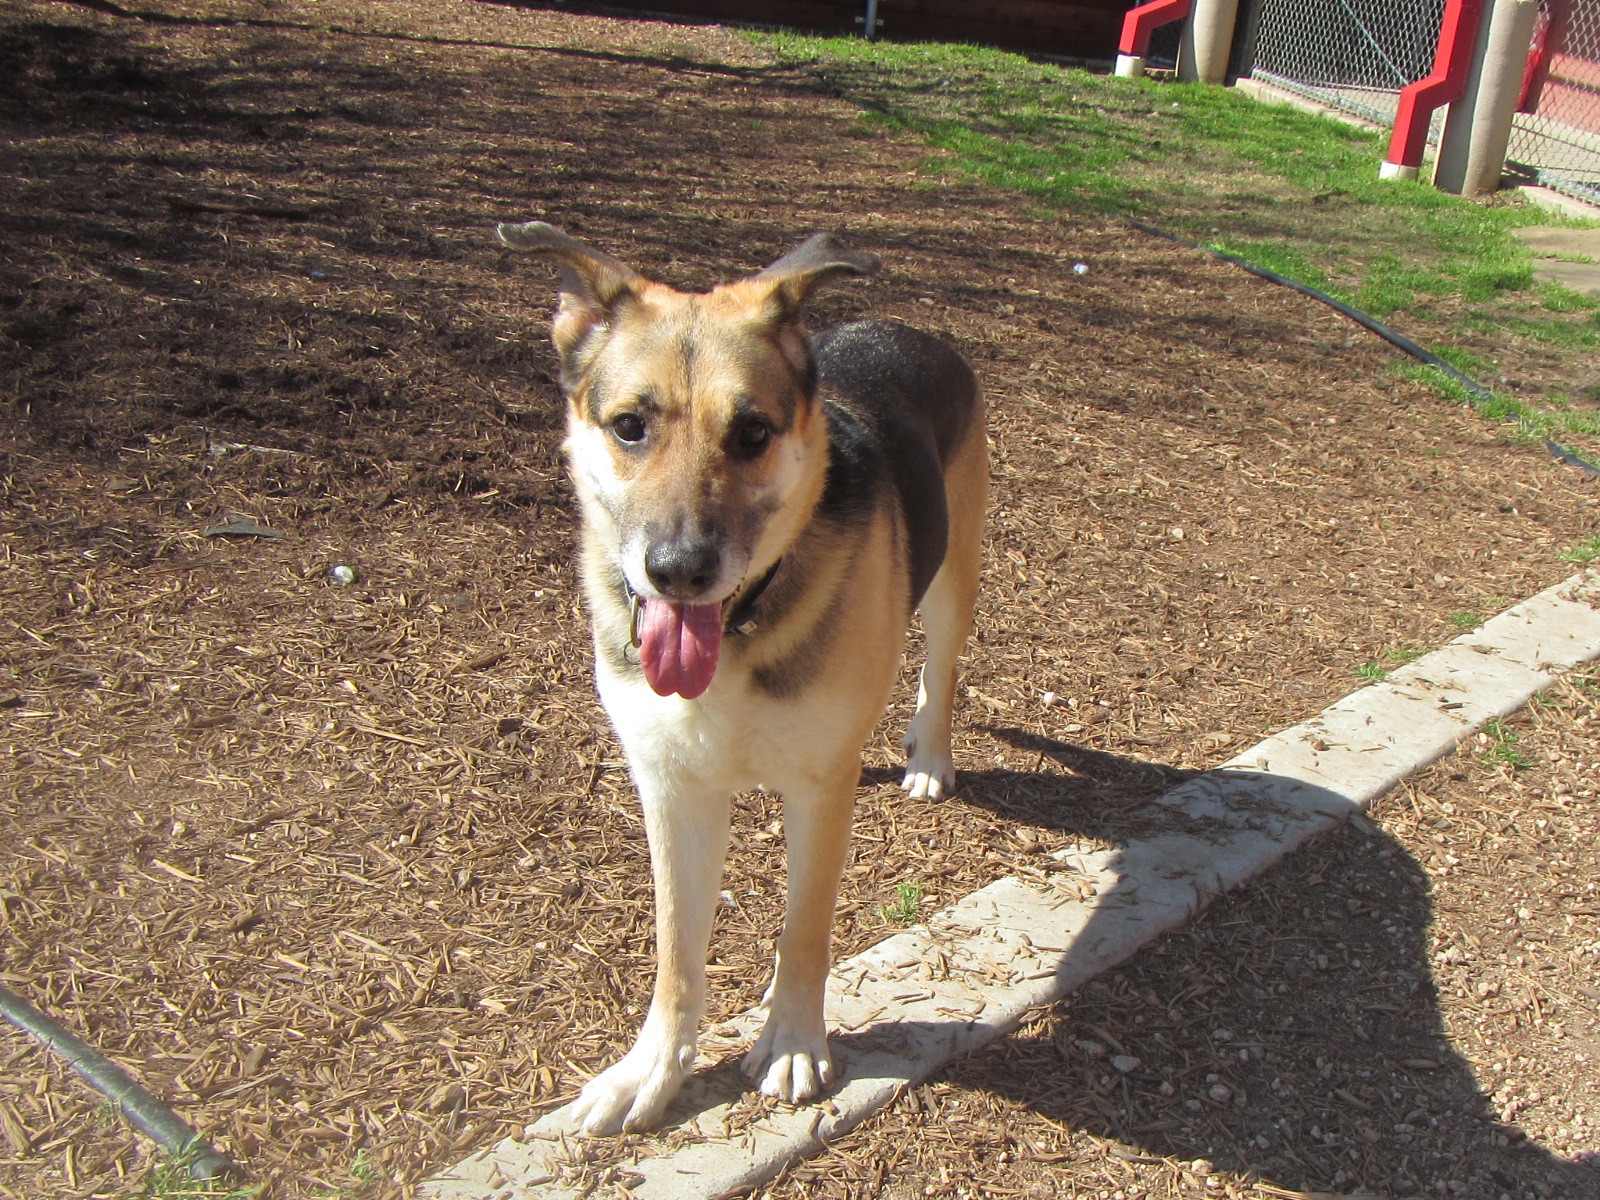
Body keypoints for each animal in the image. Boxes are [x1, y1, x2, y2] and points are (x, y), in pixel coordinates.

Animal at [499, 225, 979, 1139]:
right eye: (629, 426)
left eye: (752, 432)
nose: (679, 570)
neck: (744, 626)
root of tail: (909, 328)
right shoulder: (672, 789)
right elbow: (676, 955)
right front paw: (652, 1072)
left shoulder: (820, 793)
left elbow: (805, 930)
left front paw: (791, 1039)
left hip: (954, 575)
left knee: (940, 667)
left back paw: (929, 756)